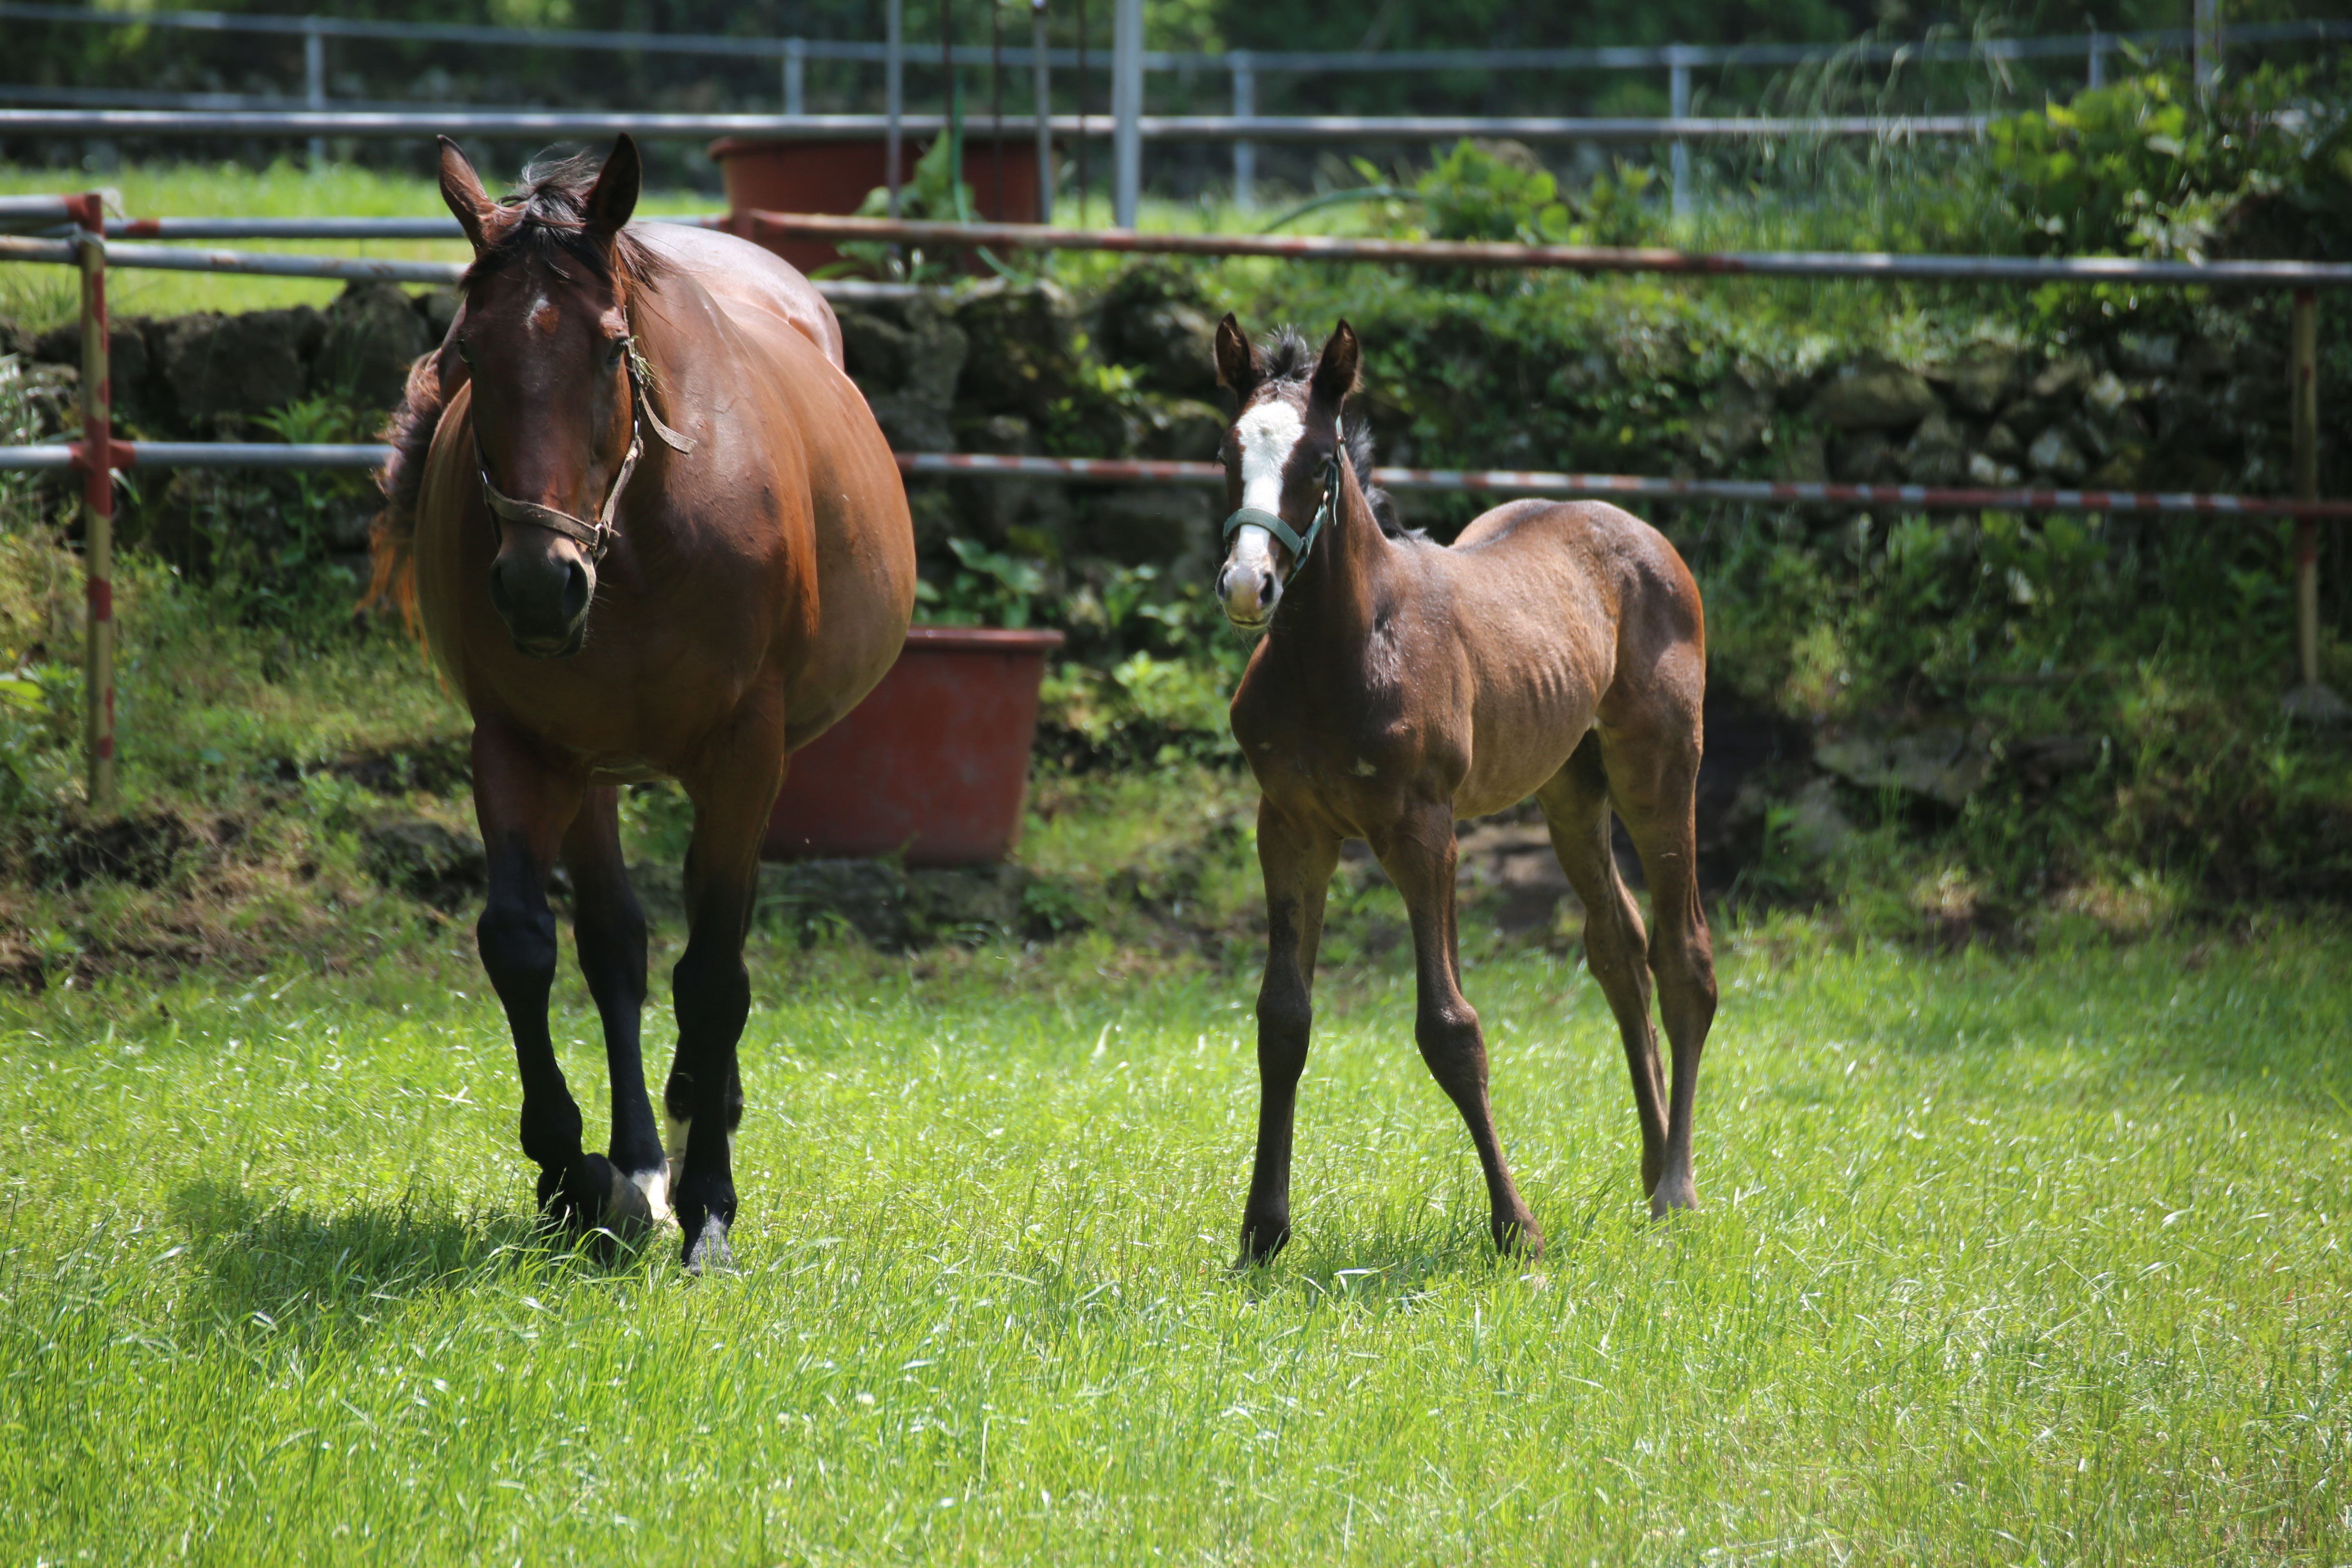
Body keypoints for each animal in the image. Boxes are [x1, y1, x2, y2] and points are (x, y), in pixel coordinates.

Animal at [372, 141, 912, 1278]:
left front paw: (709, 1205)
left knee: (709, 950)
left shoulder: (744, 755)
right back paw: (636, 1161)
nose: (540, 585)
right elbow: (526, 944)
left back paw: (700, 1118)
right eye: (469, 348)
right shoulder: (522, 745)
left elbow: (714, 975)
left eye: (609, 345)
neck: (638, 534)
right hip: (592, 771)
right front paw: (570, 1172)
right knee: (614, 944)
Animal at [1214, 319, 1712, 1260]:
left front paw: (1517, 1229)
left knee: (1684, 958)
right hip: (1570, 789)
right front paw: (1262, 1232)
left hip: (1661, 769)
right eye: (1228, 453)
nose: (1247, 585)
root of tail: (1639, 528)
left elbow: (1449, 1027)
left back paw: (1676, 1191)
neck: (1339, 652)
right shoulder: (1290, 827)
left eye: (1320, 462)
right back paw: (1651, 1164)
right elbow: (1282, 1020)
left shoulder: (1424, 831)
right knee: (1619, 949)